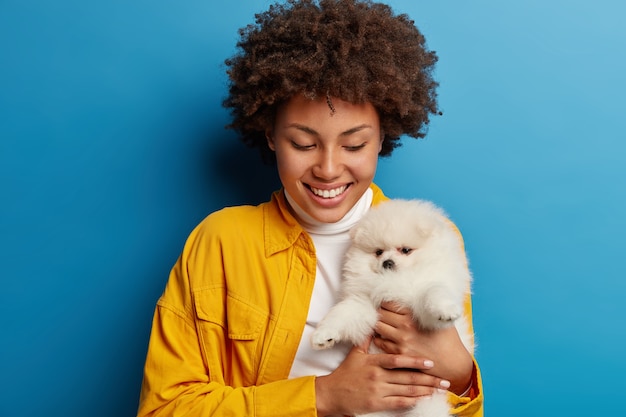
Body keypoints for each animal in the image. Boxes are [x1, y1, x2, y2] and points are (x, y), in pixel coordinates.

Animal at [308, 198, 472, 416]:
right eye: (378, 252)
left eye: (405, 250)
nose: (387, 262)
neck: (394, 281)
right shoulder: (365, 304)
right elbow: (343, 314)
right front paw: (324, 335)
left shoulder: (425, 293)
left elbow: (434, 291)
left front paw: (445, 310)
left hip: (427, 400)